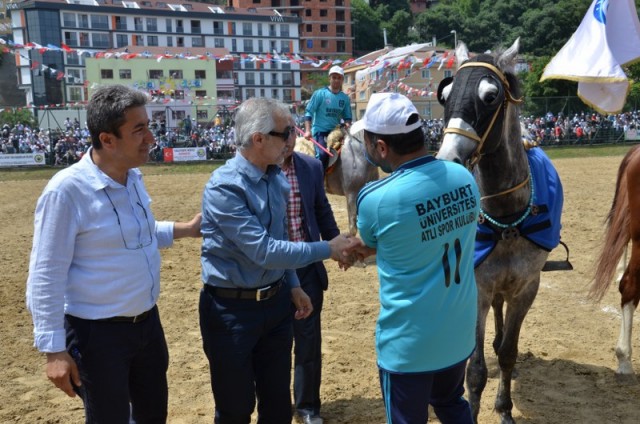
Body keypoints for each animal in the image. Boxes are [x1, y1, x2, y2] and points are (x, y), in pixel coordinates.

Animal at [436, 38, 564, 422]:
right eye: (445, 96)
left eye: (490, 96)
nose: (447, 160)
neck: (505, 221)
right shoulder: (477, 287)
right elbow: (475, 370)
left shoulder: (526, 287)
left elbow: (508, 353)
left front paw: (504, 407)